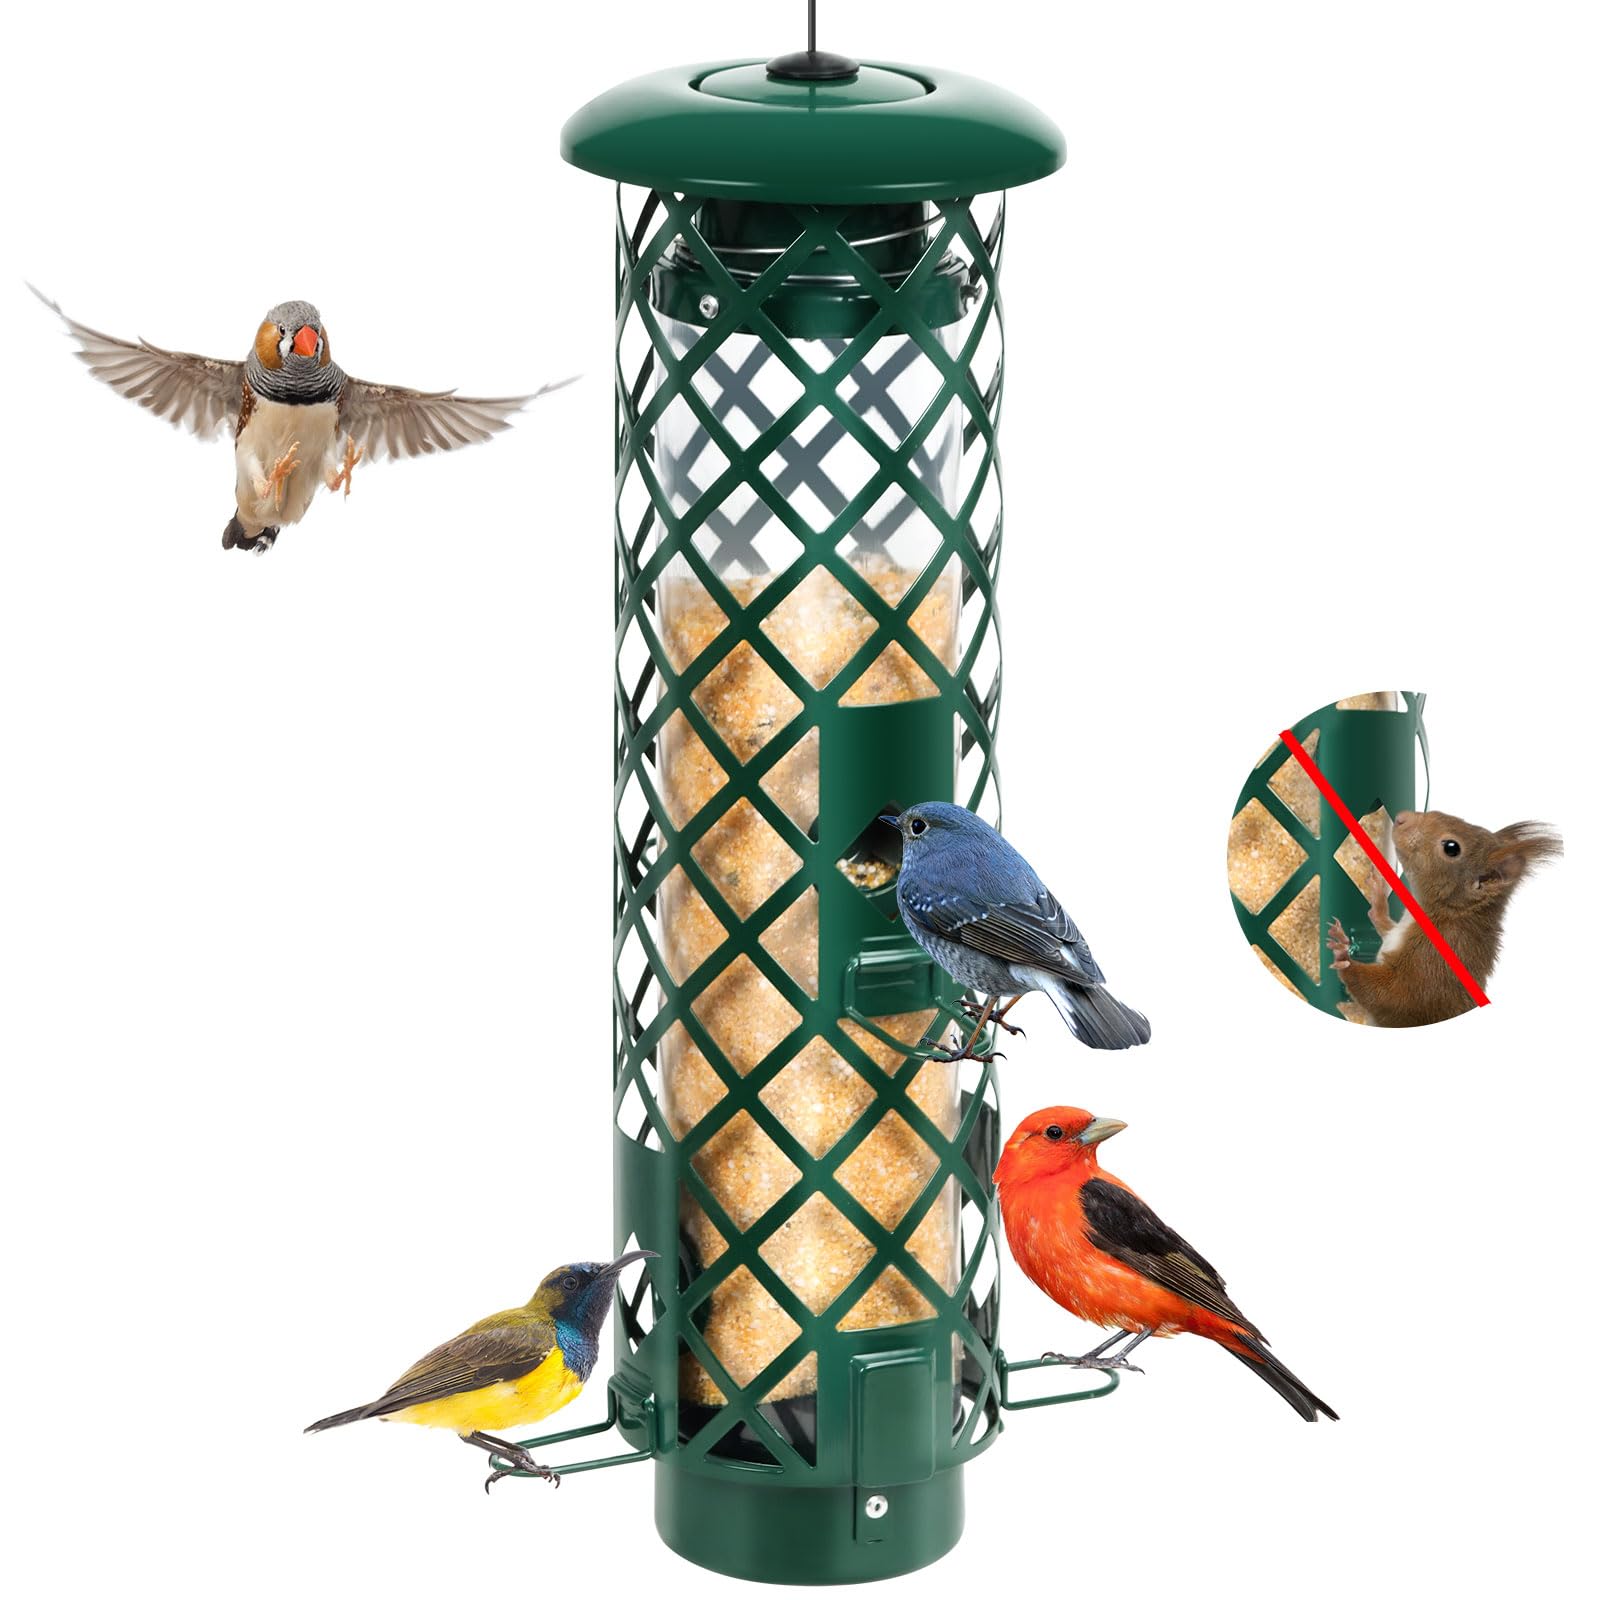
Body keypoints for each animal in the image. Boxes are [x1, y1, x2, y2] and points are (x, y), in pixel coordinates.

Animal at [1328, 809, 1561, 1027]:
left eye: (1451, 848)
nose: (1402, 818)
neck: (1448, 912)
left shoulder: (1433, 962)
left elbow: (1395, 997)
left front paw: (1343, 956)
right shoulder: (1398, 934)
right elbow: (1386, 927)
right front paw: (1377, 900)